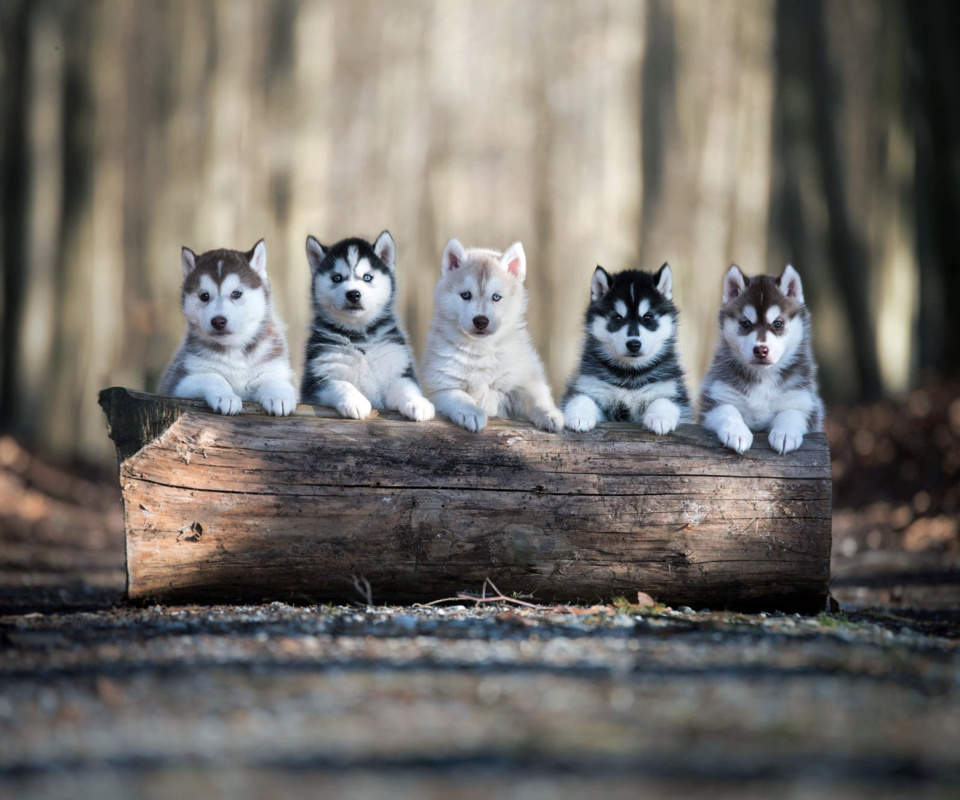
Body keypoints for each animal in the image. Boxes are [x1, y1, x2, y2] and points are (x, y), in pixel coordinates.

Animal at [158, 239, 296, 416]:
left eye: (236, 294)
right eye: (204, 296)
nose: (218, 321)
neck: (234, 349)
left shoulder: (276, 367)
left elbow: (275, 380)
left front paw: (279, 396)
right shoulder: (178, 382)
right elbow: (212, 377)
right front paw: (226, 397)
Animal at [420, 238, 564, 434]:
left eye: (496, 297)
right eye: (466, 295)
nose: (481, 321)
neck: (480, 349)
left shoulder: (523, 379)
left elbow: (536, 399)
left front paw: (551, 415)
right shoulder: (440, 386)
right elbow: (460, 396)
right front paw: (472, 412)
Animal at [564, 266, 688, 434]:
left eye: (647, 317)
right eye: (617, 318)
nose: (633, 344)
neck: (630, 374)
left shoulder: (672, 390)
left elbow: (664, 400)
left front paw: (660, 417)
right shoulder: (592, 386)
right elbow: (581, 397)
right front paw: (579, 415)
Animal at [696, 268, 824, 456]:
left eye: (777, 323)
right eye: (745, 323)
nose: (761, 350)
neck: (764, 375)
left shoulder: (804, 401)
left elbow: (792, 412)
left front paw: (785, 434)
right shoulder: (716, 396)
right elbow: (728, 410)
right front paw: (737, 432)